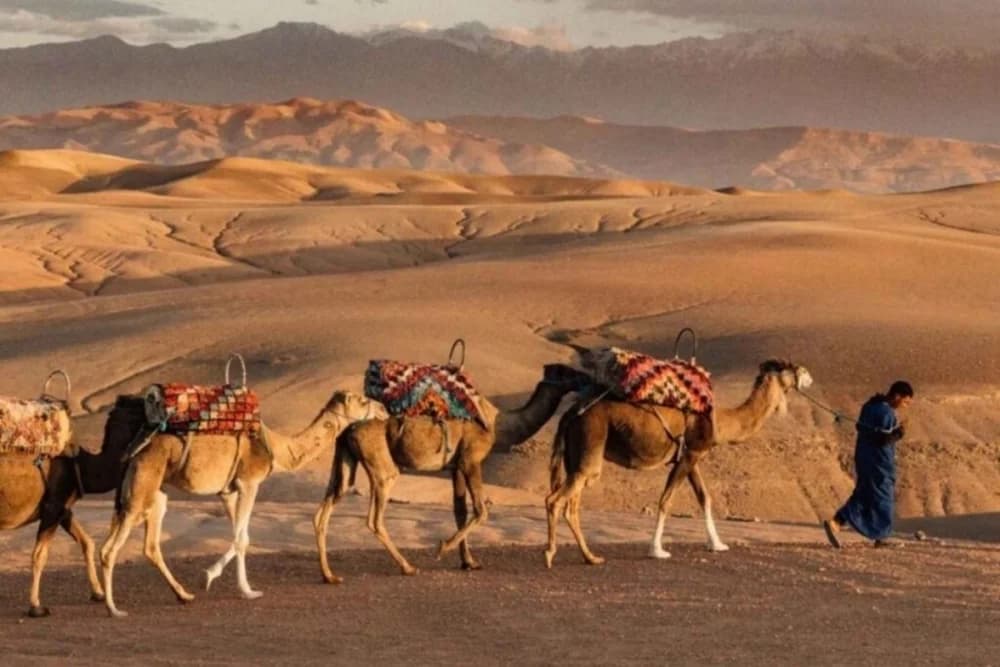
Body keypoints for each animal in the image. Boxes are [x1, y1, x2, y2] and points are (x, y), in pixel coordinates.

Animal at [0, 395, 145, 617]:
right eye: (140, 407)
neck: (81, 465)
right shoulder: (53, 506)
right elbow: (39, 555)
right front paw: (36, 607)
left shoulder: (64, 509)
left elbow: (87, 542)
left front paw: (98, 593)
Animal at [100, 390, 386, 617]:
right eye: (362, 400)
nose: (383, 409)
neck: (277, 447)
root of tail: (132, 450)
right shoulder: (250, 482)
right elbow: (240, 539)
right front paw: (247, 591)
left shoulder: (229, 490)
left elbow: (242, 536)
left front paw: (209, 577)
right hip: (143, 485)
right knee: (110, 550)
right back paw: (114, 609)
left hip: (153, 493)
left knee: (146, 545)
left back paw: (184, 595)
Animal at [314, 363, 591, 582]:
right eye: (568, 372)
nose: (587, 378)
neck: (498, 424)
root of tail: (350, 428)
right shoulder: (471, 459)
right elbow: (481, 510)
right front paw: (443, 548)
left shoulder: (456, 465)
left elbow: (461, 511)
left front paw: (469, 562)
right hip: (382, 465)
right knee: (375, 517)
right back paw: (408, 567)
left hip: (345, 459)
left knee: (327, 507)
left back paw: (329, 575)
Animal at [544, 359, 813, 568]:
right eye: (790, 366)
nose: (809, 376)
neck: (719, 421)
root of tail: (570, 414)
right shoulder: (690, 454)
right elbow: (666, 501)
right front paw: (657, 550)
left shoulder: (691, 456)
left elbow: (705, 497)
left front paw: (717, 544)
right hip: (591, 440)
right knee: (555, 500)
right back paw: (549, 554)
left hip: (577, 454)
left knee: (572, 505)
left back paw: (591, 557)